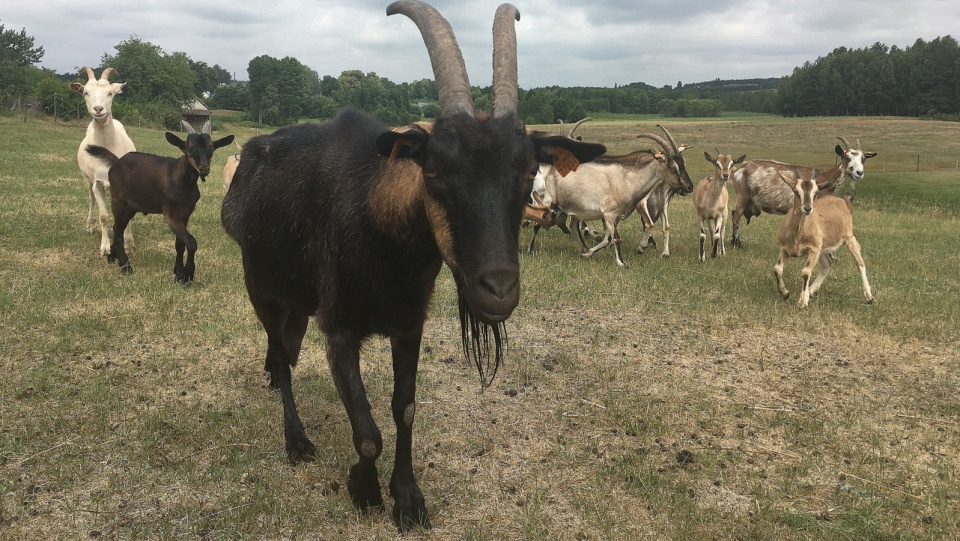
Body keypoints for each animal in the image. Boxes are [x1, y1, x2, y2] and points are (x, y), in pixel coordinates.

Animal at [69, 65, 136, 255]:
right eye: (85, 92)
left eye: (110, 93)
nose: (98, 109)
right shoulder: (97, 182)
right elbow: (104, 215)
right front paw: (105, 246)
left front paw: (129, 245)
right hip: (87, 179)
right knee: (91, 199)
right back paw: (90, 226)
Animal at [87, 120, 235, 282]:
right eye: (188, 149)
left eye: (211, 149)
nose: (204, 168)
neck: (181, 180)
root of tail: (117, 162)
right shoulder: (170, 214)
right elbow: (191, 242)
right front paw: (187, 275)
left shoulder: (185, 214)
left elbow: (180, 244)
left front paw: (178, 272)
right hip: (118, 201)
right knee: (118, 231)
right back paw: (126, 266)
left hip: (131, 207)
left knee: (118, 227)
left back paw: (113, 257)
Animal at [221, 1, 604, 532]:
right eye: (435, 171)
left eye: (529, 173)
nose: (498, 289)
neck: (380, 230)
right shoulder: (338, 328)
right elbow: (366, 429)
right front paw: (363, 490)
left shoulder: (409, 325)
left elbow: (404, 410)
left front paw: (407, 497)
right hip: (260, 287)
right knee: (279, 354)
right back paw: (296, 441)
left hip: (296, 300)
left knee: (287, 355)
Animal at [768, 169, 872, 306]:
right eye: (796, 191)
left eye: (816, 192)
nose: (807, 208)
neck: (797, 234)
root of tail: (843, 202)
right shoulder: (785, 248)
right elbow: (777, 269)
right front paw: (785, 293)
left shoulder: (813, 249)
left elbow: (806, 272)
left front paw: (802, 302)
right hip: (823, 248)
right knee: (828, 263)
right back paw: (811, 291)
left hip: (848, 237)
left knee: (860, 262)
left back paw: (869, 297)